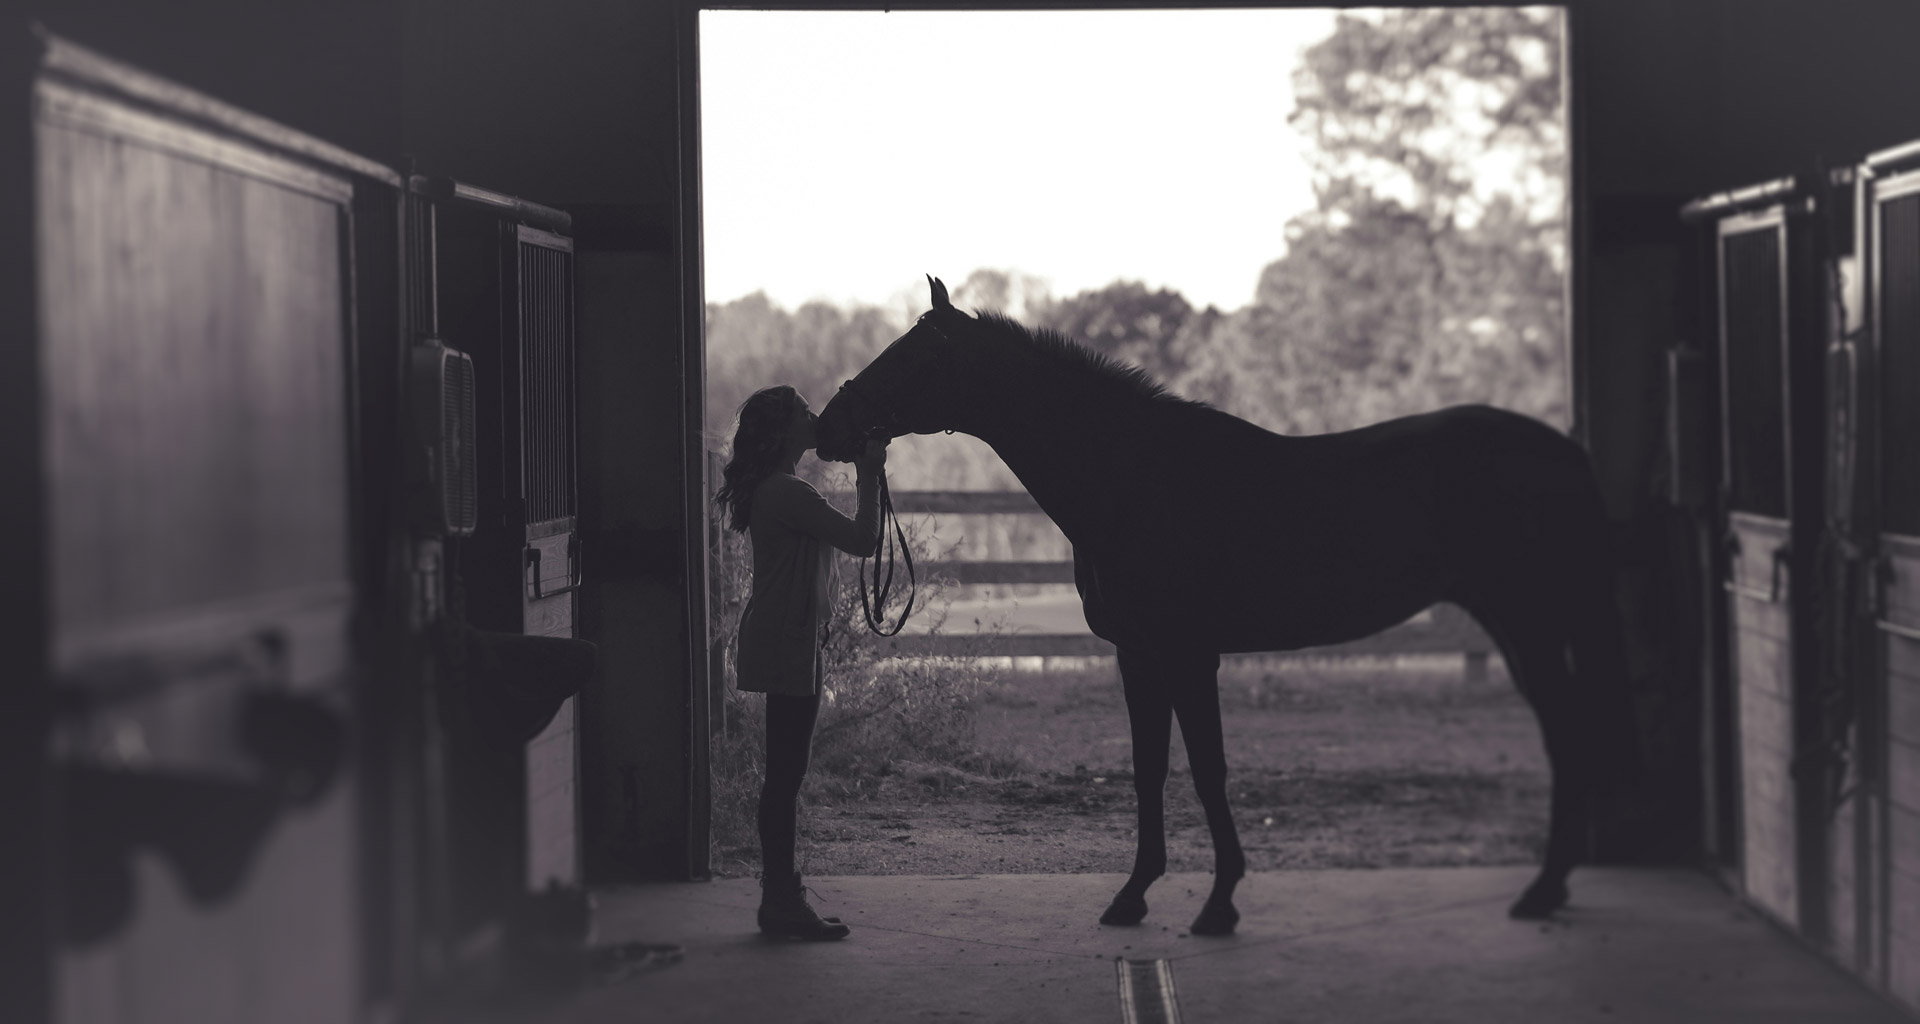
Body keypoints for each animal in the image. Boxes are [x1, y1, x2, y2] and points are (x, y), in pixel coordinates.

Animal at [814, 274, 1635, 929]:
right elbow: (1148, 769)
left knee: (1567, 733)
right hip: (1516, 625)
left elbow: (1208, 769)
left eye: (909, 357)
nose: (828, 428)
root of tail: (1563, 451)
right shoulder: (1138, 656)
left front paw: (1218, 904)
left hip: (1530, 624)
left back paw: (1542, 892)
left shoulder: (1188, 654)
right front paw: (1133, 897)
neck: (1132, 477)